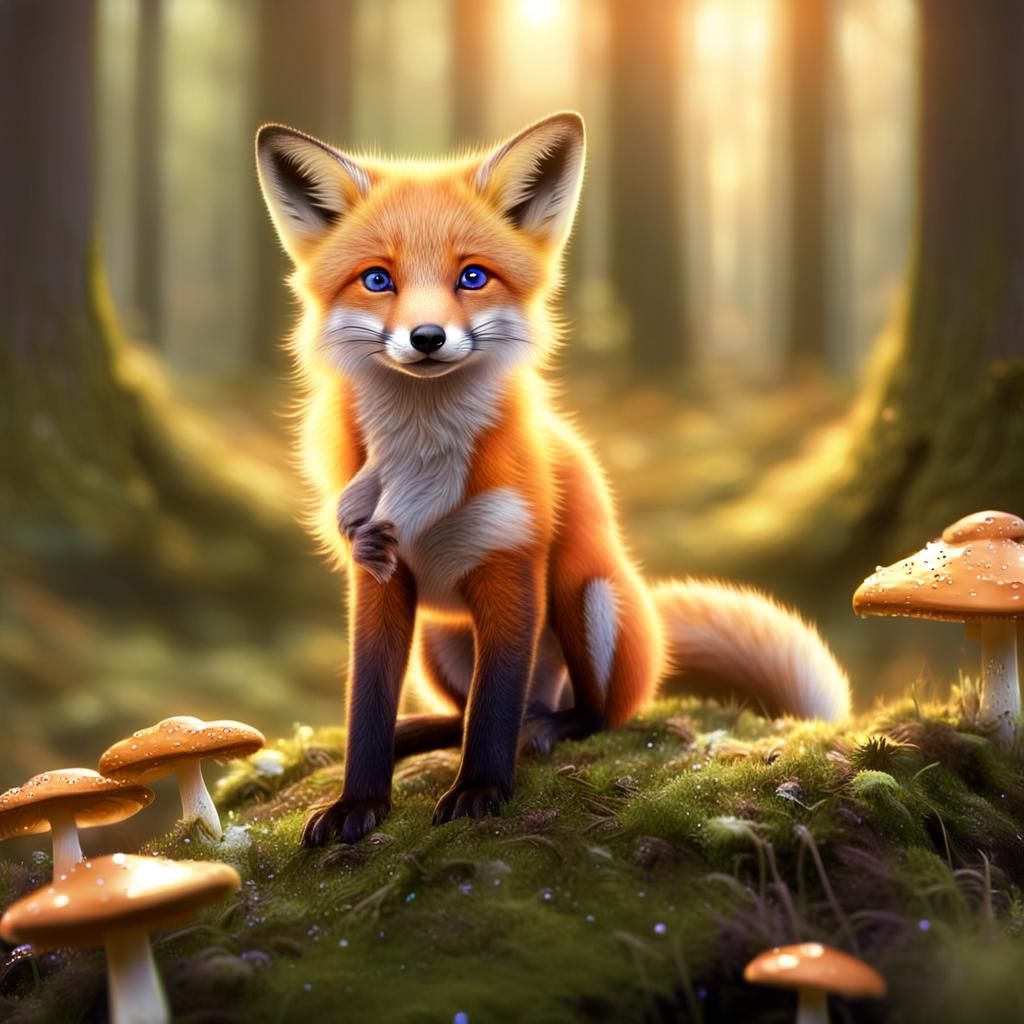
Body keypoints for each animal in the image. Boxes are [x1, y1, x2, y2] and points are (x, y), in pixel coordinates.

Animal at [255, 111, 851, 847]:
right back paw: (428, 731)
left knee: (588, 712)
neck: (421, 463)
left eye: (472, 277)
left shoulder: (512, 564)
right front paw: (357, 803)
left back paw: (547, 727)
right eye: (376, 280)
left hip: (587, 600)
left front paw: (480, 790)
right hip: (439, 640)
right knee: (463, 713)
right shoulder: (378, 578)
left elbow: (495, 710)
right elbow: (369, 704)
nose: (427, 338)